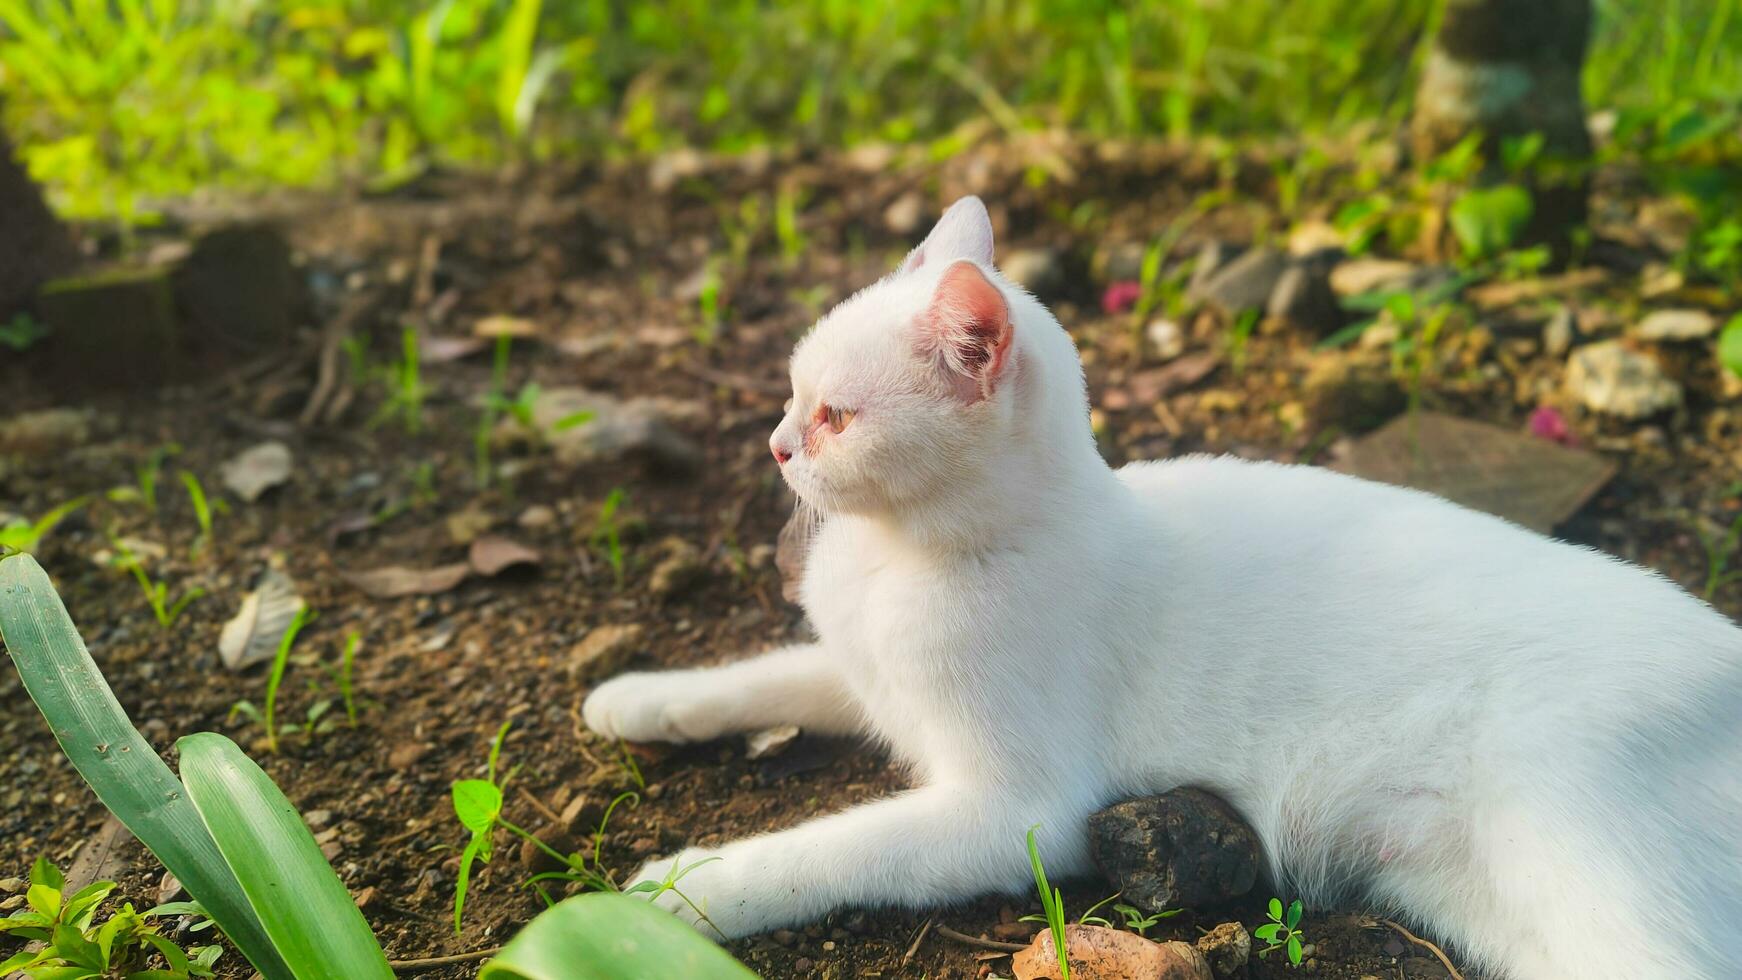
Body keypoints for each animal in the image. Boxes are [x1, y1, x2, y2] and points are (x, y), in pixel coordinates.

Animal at [585, 195, 1742, 974]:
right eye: (792, 392)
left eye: (835, 415)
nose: (777, 444)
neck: (898, 559)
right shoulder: (861, 672)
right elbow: (767, 672)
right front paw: (638, 697)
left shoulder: (1018, 810)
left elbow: (828, 849)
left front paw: (679, 888)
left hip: (1576, 841)